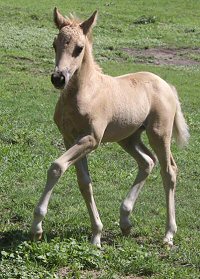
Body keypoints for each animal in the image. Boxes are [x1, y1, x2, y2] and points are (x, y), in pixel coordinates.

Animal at [30, 8, 189, 247]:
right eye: (54, 44)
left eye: (79, 48)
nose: (58, 78)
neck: (85, 93)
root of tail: (166, 85)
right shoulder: (70, 139)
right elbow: (84, 182)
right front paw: (96, 233)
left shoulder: (91, 139)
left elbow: (56, 167)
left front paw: (37, 226)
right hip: (129, 137)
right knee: (147, 162)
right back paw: (125, 221)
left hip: (159, 133)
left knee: (168, 170)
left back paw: (169, 234)